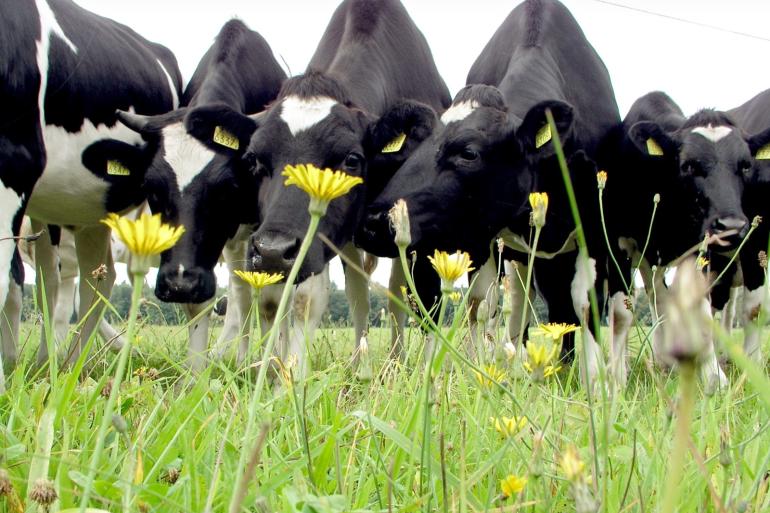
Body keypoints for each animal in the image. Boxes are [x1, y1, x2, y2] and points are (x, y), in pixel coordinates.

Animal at [105, 20, 292, 370]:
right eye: (151, 188)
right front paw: (195, 373)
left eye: (226, 189)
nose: (180, 283)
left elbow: (261, 295)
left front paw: (263, 363)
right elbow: (206, 304)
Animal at [185, 0, 450, 374]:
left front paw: (427, 372)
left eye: (351, 159)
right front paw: (286, 371)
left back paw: (393, 361)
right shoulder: (315, 237)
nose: (272, 250)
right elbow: (302, 298)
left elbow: (423, 298)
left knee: (397, 290)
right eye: (253, 160)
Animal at [358, 0, 616, 384]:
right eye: (420, 145)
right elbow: (483, 305)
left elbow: (588, 304)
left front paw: (596, 383)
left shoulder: (596, 229)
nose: (374, 220)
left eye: (468, 152)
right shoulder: (484, 239)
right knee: (516, 307)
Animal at [600, 91, 768, 388]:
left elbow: (701, 310)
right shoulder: (619, 244)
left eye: (746, 166)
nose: (731, 227)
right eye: (689, 165)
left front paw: (715, 377)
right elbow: (621, 313)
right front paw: (615, 379)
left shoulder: (698, 250)